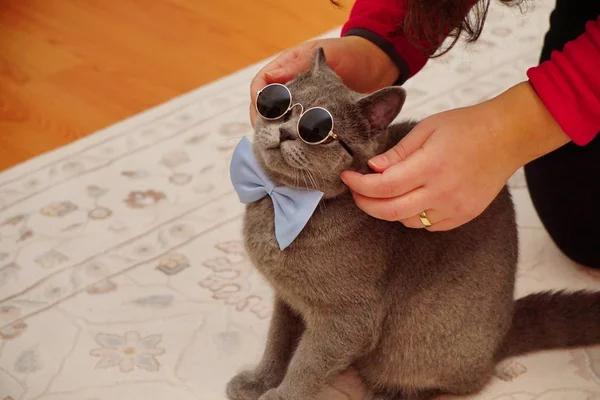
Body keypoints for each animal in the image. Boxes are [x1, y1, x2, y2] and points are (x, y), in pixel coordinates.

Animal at [225, 49, 600, 400]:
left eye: (317, 132)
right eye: (279, 105)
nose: (286, 130)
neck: (280, 202)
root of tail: (501, 336)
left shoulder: (346, 318)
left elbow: (308, 362)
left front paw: (281, 394)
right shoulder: (286, 298)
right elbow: (278, 342)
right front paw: (258, 381)